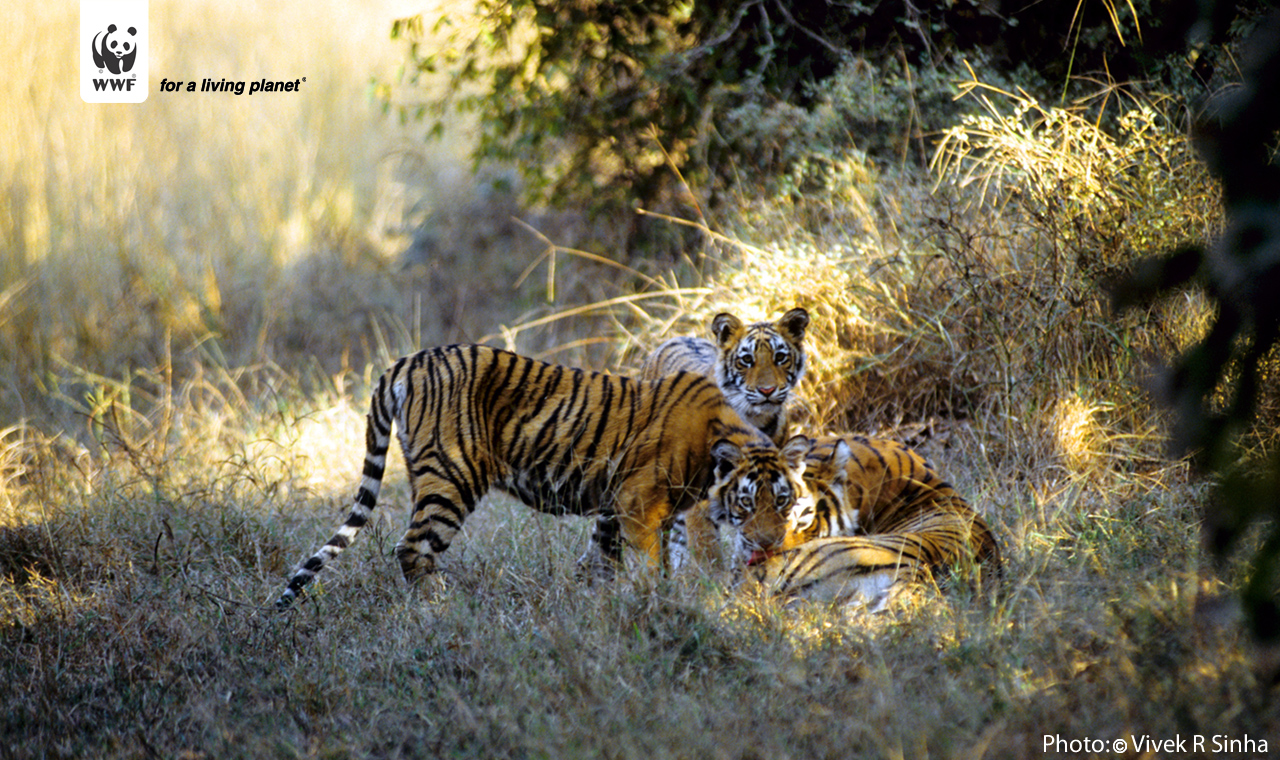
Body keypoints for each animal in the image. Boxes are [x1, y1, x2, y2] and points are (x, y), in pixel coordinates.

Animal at [275, 344, 809, 609]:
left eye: (782, 501)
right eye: (747, 502)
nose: (768, 545)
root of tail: (407, 361)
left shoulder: (614, 505)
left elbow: (600, 560)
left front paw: (589, 601)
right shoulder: (637, 504)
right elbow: (649, 566)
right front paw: (654, 604)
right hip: (452, 475)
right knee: (412, 547)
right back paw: (440, 609)